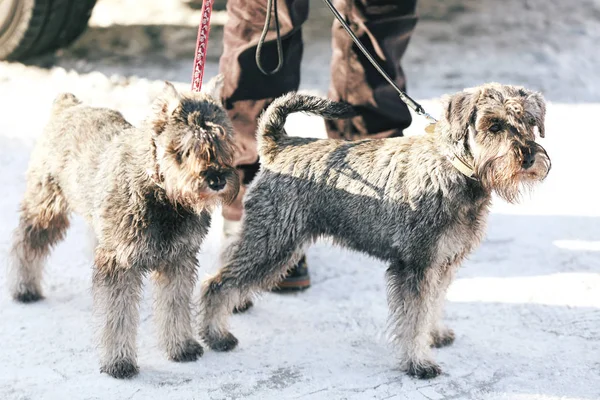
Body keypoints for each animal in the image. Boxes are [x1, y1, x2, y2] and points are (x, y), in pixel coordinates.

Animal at [8, 75, 239, 378]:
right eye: (188, 147)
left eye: (225, 140)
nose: (217, 180)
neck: (162, 194)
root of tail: (67, 106)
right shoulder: (119, 263)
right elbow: (117, 316)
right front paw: (119, 362)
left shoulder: (179, 260)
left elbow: (175, 306)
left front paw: (181, 345)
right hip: (47, 209)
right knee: (25, 242)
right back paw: (24, 288)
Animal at [200, 82, 552, 378]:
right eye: (494, 125)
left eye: (530, 122)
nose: (528, 157)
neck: (453, 168)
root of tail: (280, 146)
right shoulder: (416, 265)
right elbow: (414, 317)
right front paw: (419, 362)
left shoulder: (444, 263)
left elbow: (434, 304)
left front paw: (435, 334)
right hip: (273, 242)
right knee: (217, 283)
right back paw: (217, 335)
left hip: (272, 239)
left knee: (230, 258)